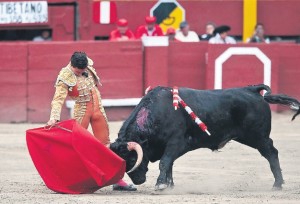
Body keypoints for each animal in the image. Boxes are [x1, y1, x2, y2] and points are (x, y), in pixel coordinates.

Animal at [110, 84, 300, 190]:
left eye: (132, 158)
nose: (138, 181)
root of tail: (254, 91)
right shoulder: (170, 147)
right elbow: (169, 164)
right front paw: (169, 184)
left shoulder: (175, 143)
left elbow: (165, 162)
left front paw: (161, 184)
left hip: (258, 137)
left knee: (272, 153)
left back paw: (277, 184)